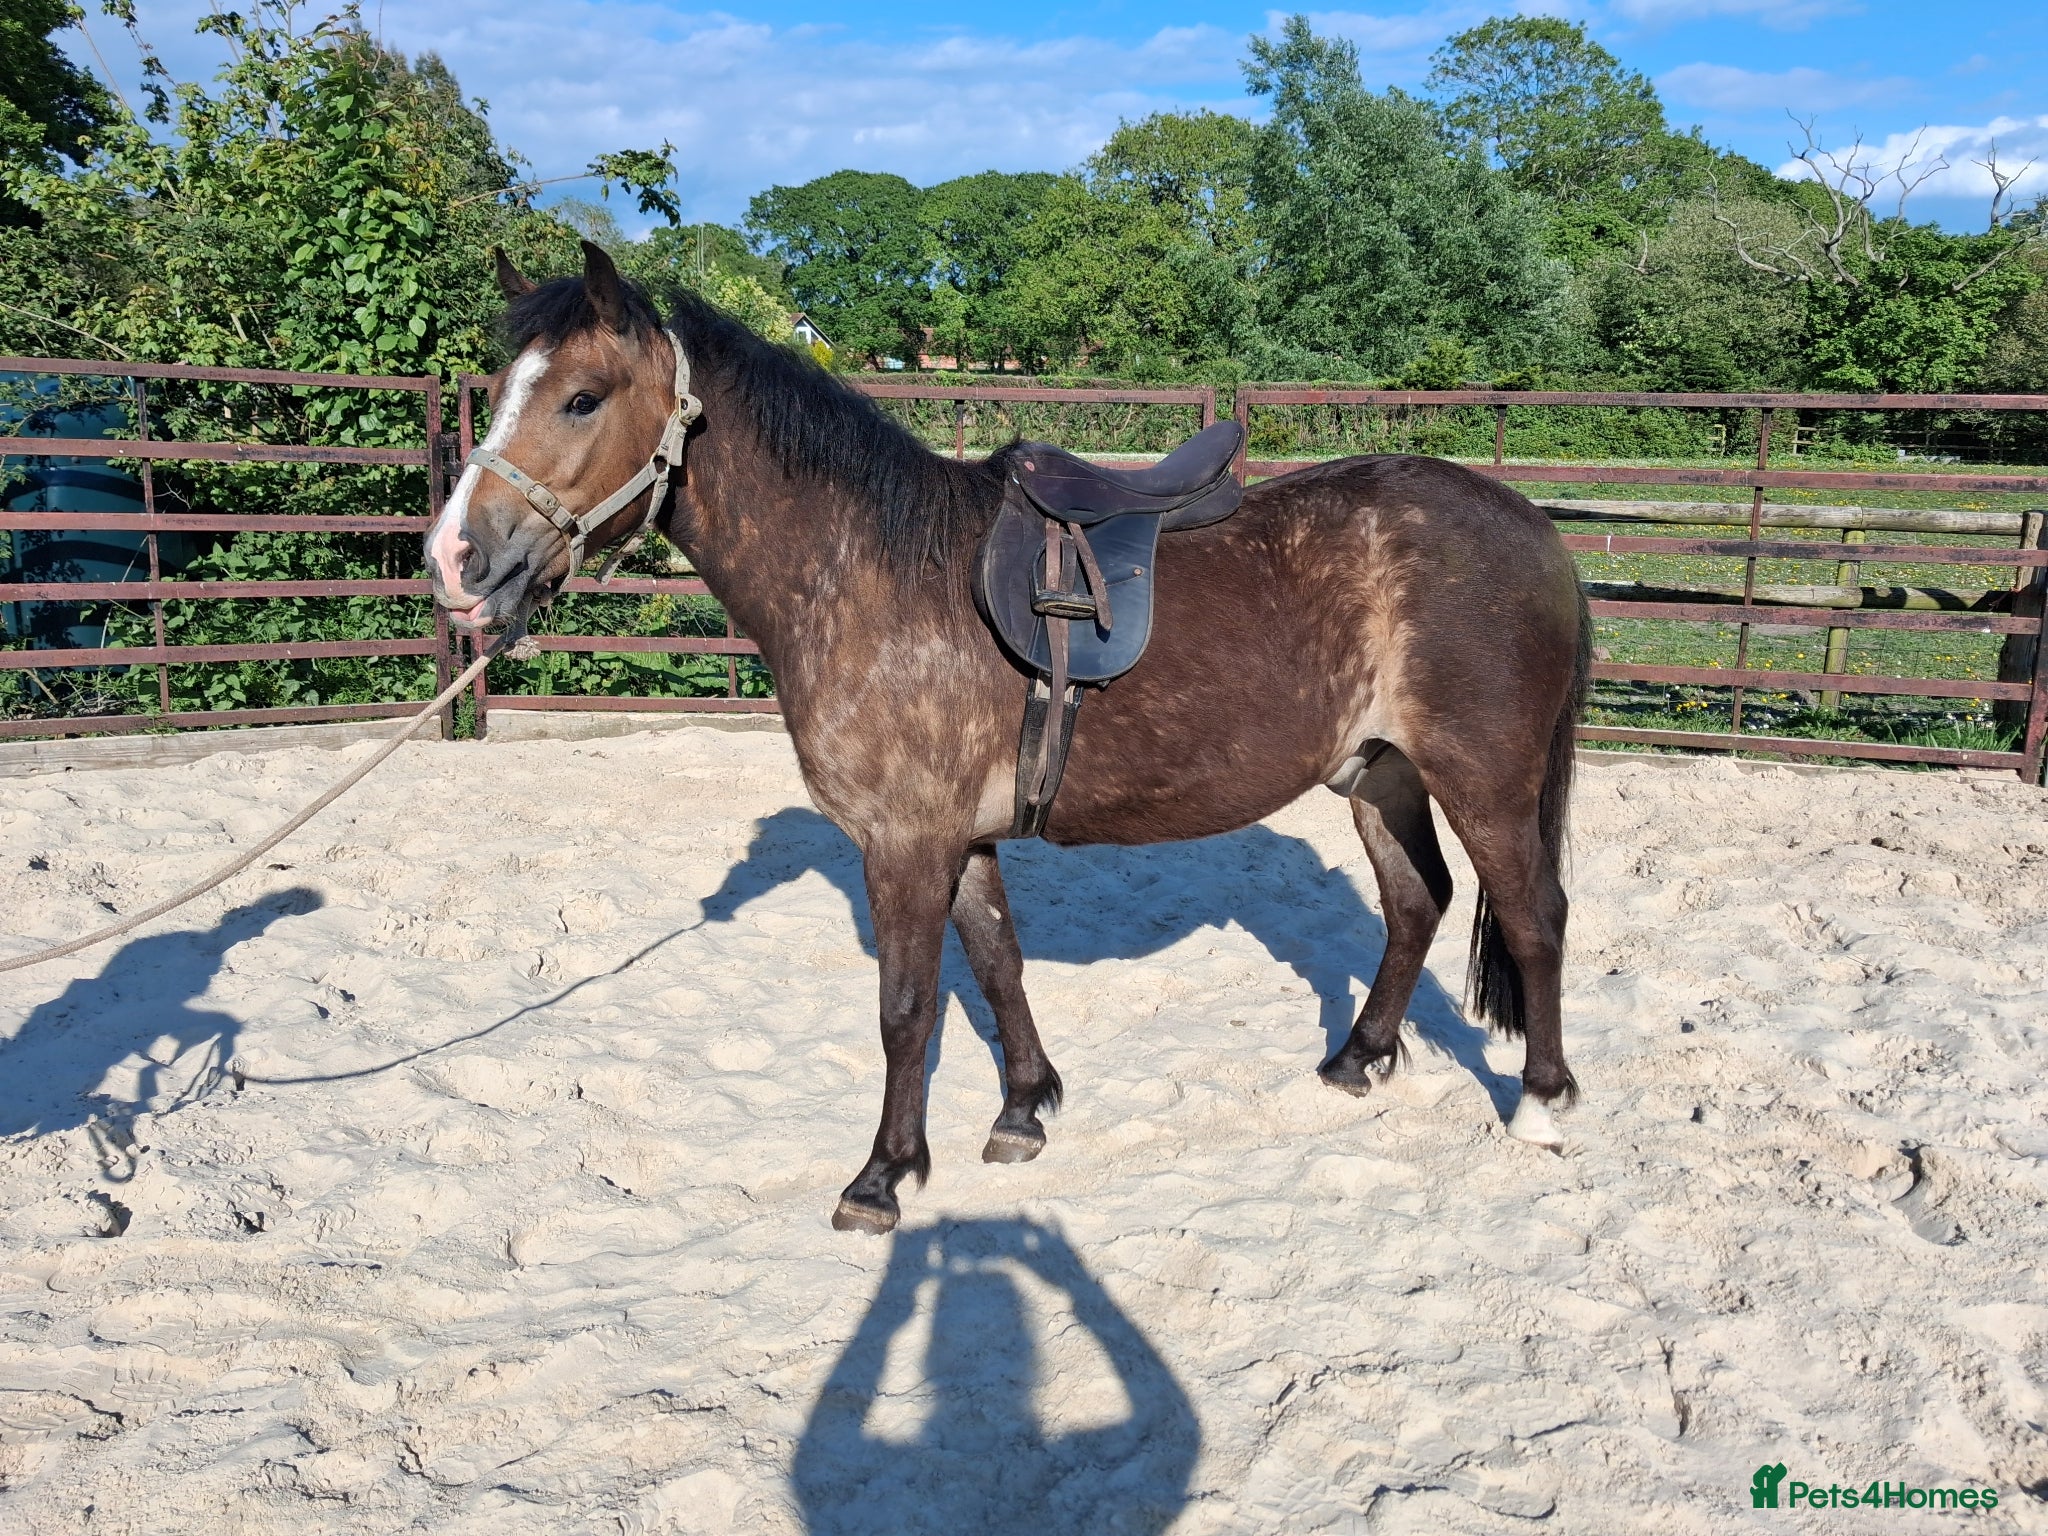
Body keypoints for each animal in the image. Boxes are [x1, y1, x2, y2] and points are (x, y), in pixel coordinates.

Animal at [426, 242, 1592, 1235]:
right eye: (503, 389)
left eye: (582, 396)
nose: (454, 559)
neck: (870, 574)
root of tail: (1529, 524)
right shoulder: (961, 834)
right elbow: (996, 964)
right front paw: (1024, 1110)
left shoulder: (903, 842)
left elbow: (906, 1008)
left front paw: (881, 1176)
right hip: (1377, 775)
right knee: (1415, 901)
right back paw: (1357, 1060)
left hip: (1482, 777)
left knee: (1534, 917)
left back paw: (1541, 1103)